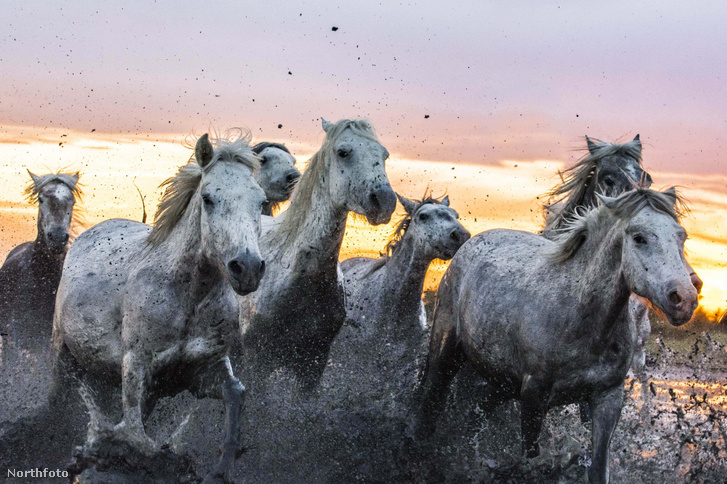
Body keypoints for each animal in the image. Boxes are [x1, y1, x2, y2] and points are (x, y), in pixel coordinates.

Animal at [52, 132, 268, 484]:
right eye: (208, 198)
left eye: (261, 202)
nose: (247, 268)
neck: (187, 297)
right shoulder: (136, 368)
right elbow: (138, 438)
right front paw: (103, 452)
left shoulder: (202, 369)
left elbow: (236, 394)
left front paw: (219, 470)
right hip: (61, 355)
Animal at [420, 188, 700, 484]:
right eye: (639, 237)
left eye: (681, 236)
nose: (684, 298)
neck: (580, 315)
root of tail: (471, 243)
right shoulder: (534, 396)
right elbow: (531, 459)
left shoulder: (607, 398)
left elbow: (598, 467)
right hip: (445, 353)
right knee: (430, 401)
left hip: (502, 384)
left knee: (476, 416)